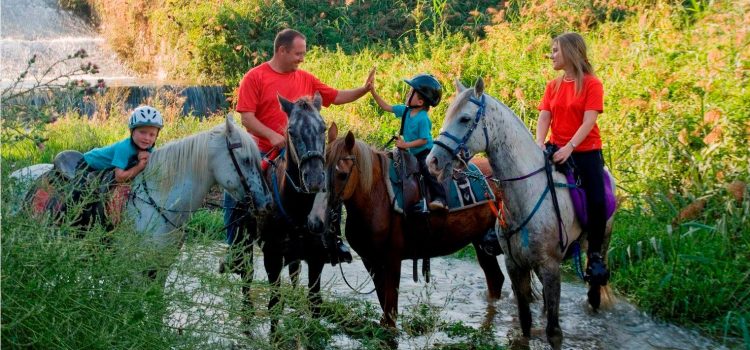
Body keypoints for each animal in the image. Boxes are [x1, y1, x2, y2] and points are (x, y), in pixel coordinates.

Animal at [308, 126, 508, 328]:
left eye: (342, 175)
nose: (315, 221)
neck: (377, 196)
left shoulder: (392, 259)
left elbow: (390, 310)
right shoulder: (371, 260)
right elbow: (384, 303)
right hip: (480, 242)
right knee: (495, 279)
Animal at [428, 78, 616, 350]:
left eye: (464, 119)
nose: (432, 161)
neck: (526, 194)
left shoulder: (550, 266)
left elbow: (554, 332)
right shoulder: (515, 265)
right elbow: (525, 322)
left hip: (598, 246)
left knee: (593, 293)